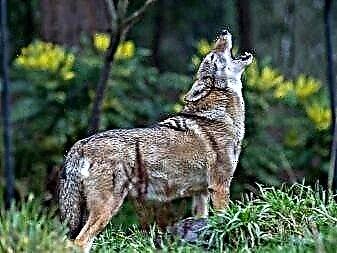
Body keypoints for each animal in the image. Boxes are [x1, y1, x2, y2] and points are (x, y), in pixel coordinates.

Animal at [57, 30, 252, 251]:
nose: (223, 32)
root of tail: (80, 144)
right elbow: (224, 221)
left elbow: (203, 220)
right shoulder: (220, 187)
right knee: (80, 242)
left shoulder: (201, 194)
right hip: (107, 208)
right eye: (212, 56)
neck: (219, 115)